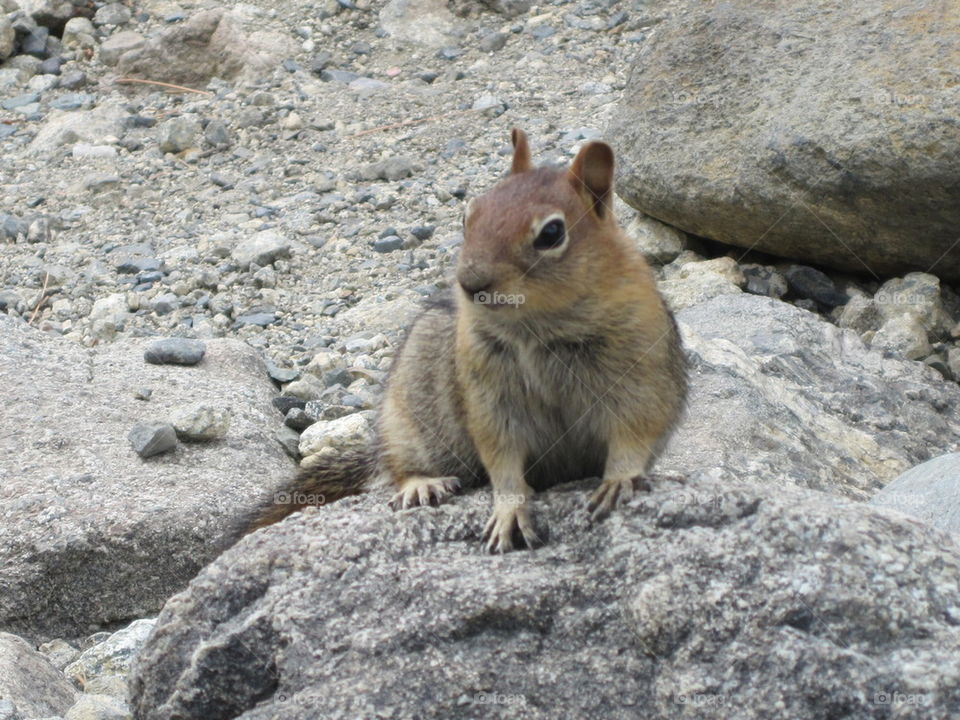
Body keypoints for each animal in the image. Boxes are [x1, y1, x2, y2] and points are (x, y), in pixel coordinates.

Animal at [253, 129, 688, 556]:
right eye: (468, 215)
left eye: (551, 233)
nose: (470, 282)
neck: (538, 326)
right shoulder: (490, 397)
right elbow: (501, 456)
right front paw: (509, 511)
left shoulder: (640, 375)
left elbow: (635, 433)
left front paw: (619, 481)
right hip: (407, 426)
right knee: (399, 467)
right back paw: (422, 484)